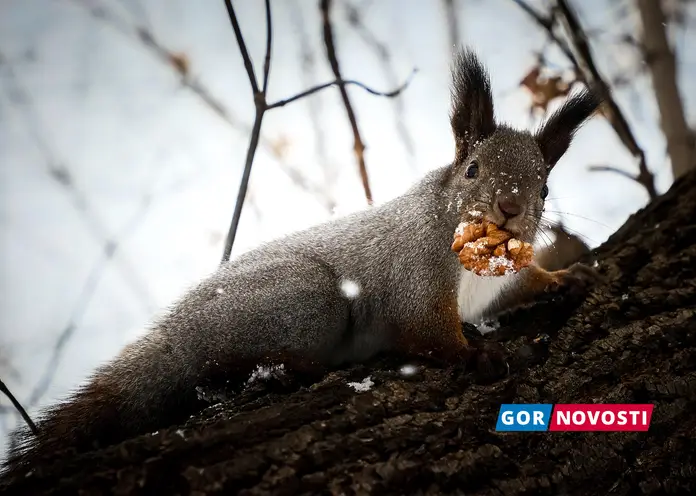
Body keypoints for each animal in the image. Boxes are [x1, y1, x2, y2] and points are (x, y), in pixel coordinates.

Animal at [0, 48, 600, 478]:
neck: (477, 260)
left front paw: (565, 278)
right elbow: (425, 328)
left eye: (545, 188)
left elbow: (523, 284)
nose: (511, 210)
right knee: (219, 367)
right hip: (309, 301)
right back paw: (285, 370)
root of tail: (175, 334)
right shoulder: (415, 271)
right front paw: (475, 355)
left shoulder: (501, 282)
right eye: (473, 169)